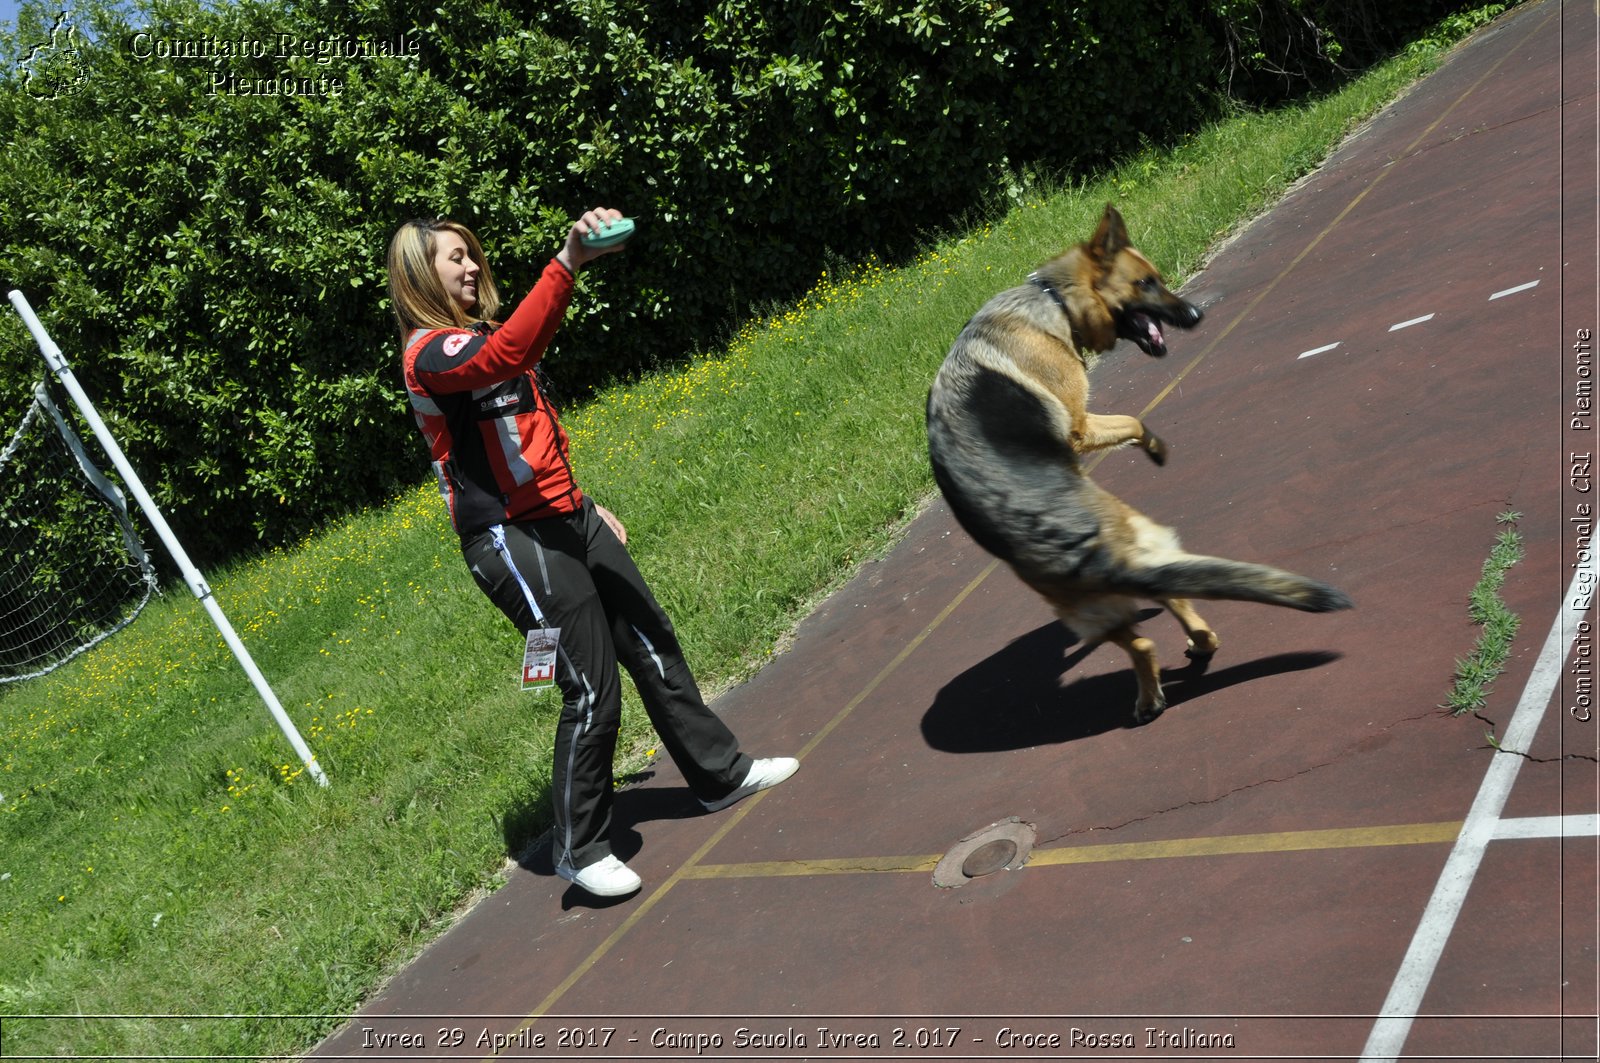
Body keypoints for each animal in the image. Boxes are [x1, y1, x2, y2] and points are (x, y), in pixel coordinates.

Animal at [928, 204, 1350, 723]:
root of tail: (1098, 555)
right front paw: (1154, 447)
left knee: (1156, 625)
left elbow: (1130, 421)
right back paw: (1160, 687)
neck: (1053, 300)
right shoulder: (1080, 426)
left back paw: (1176, 667)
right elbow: (1132, 419)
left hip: (1097, 604)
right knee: (1156, 628)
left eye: (1160, 280)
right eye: (1145, 284)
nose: (1196, 314)